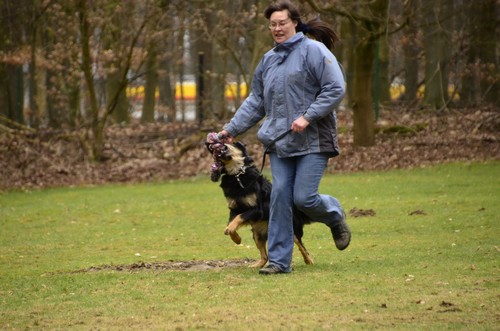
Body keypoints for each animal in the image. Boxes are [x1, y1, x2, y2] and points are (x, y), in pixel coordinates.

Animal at [206, 136, 314, 268]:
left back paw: (309, 261)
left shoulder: (257, 209)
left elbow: (239, 217)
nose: (210, 146)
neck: (237, 175)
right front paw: (236, 238)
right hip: (257, 234)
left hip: (292, 230)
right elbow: (231, 222)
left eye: (229, 142)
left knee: (301, 246)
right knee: (265, 256)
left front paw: (232, 233)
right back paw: (256, 265)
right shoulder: (234, 209)